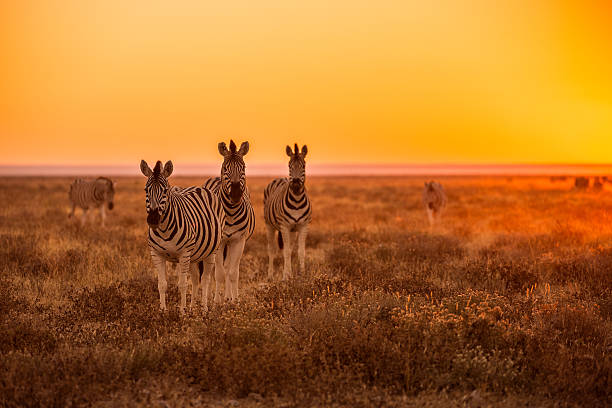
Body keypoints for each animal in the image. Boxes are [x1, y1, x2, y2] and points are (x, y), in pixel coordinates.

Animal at [140, 159, 225, 312]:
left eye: (165, 191)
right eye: (146, 190)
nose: (153, 220)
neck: (164, 230)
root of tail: (200, 188)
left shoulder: (184, 254)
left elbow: (183, 284)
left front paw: (182, 312)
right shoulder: (156, 254)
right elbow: (162, 284)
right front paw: (163, 311)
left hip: (211, 251)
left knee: (205, 279)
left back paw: (204, 309)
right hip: (194, 255)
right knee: (196, 278)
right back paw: (192, 309)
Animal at [203, 140, 256, 300]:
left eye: (243, 167)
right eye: (225, 168)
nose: (236, 194)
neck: (231, 212)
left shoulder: (239, 240)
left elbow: (232, 272)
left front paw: (234, 300)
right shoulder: (220, 242)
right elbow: (219, 273)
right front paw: (216, 301)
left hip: (232, 243)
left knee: (230, 267)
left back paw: (228, 297)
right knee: (215, 269)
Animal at [262, 143, 310, 280]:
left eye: (303, 165)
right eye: (289, 165)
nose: (295, 183)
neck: (297, 201)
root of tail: (280, 178)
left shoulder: (303, 226)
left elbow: (300, 251)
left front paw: (302, 275)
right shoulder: (284, 226)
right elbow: (286, 252)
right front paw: (285, 277)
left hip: (293, 231)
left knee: (290, 248)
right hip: (269, 225)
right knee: (272, 249)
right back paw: (270, 276)